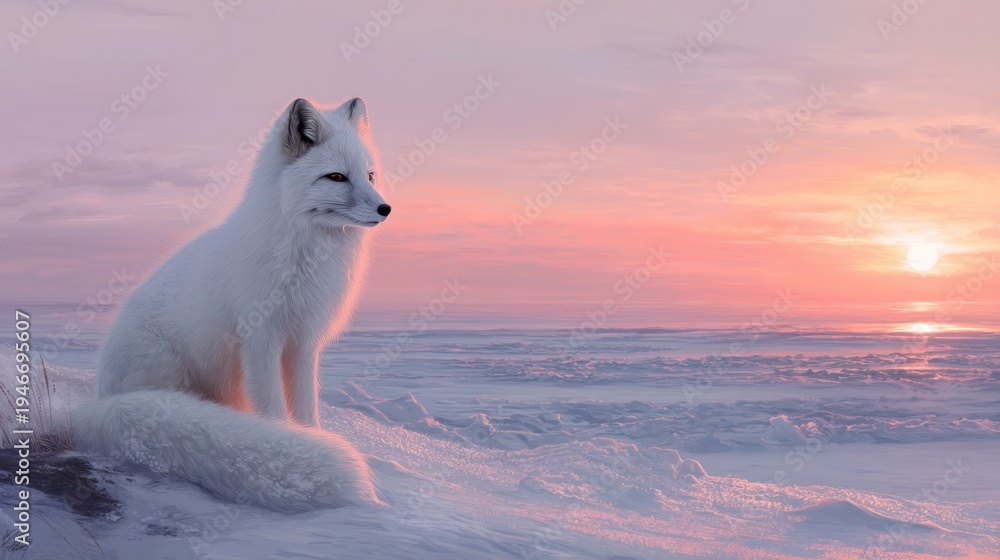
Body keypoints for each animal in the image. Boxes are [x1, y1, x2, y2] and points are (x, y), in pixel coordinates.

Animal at [71, 97, 390, 511]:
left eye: (369, 176)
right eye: (336, 177)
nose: (386, 209)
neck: (306, 253)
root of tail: (99, 402)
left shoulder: (304, 342)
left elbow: (306, 406)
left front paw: (310, 435)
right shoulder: (260, 340)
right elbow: (273, 408)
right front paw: (290, 441)